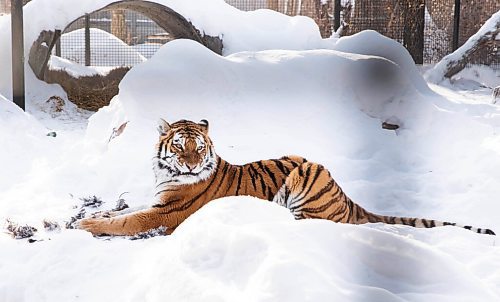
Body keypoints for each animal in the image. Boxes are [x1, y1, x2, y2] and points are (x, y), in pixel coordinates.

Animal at [76, 118, 494, 236]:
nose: (192, 165)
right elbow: (121, 212)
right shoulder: (156, 200)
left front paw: (85, 224)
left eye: (198, 147)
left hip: (307, 173)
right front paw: (89, 215)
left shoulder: (165, 213)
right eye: (180, 147)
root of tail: (348, 197)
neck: (167, 177)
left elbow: (126, 220)